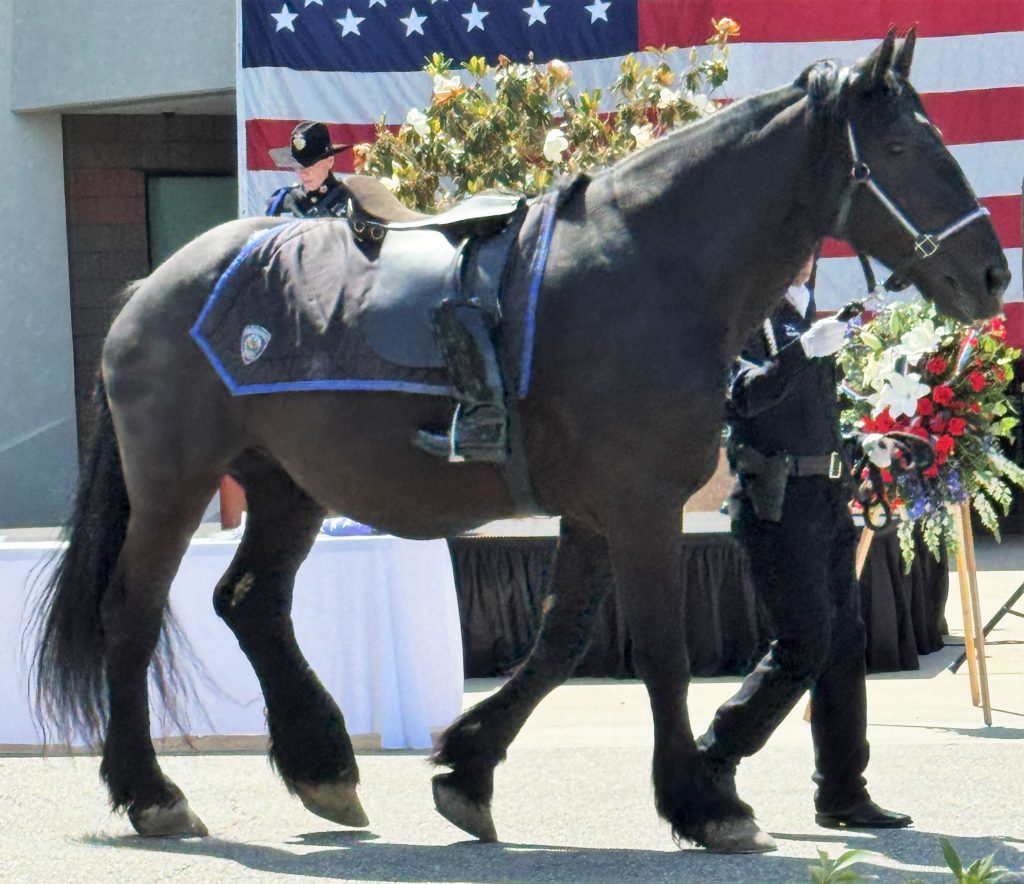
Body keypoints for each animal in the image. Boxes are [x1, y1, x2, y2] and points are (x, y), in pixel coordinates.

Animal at [31, 29, 1009, 853]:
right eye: (897, 149)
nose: (993, 272)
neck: (650, 265)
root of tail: (154, 287)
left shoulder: (593, 512)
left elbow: (557, 646)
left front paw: (466, 771)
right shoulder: (640, 505)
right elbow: (661, 650)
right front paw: (703, 802)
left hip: (284, 485)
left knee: (250, 603)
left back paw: (323, 767)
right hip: (176, 482)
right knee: (133, 613)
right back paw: (152, 793)